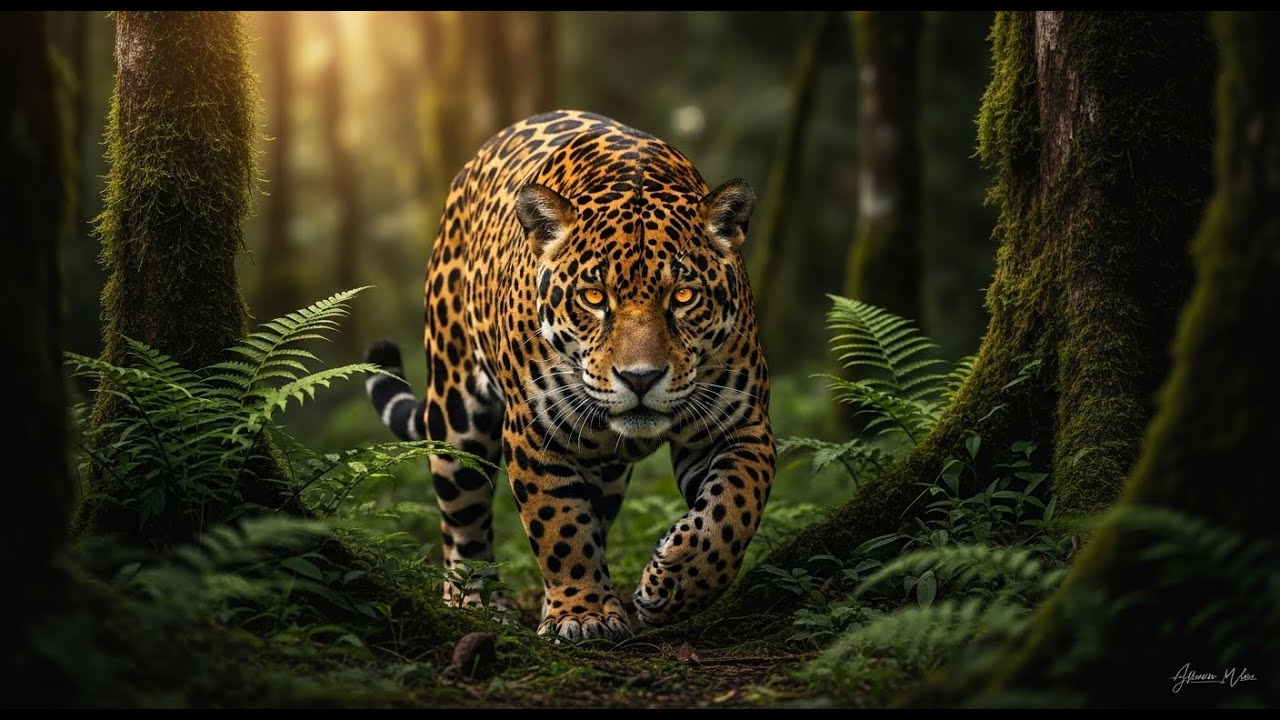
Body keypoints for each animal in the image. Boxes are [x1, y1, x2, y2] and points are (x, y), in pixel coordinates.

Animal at [365, 110, 775, 641]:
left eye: (683, 296)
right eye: (594, 297)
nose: (640, 378)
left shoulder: (740, 424)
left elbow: (732, 508)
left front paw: (675, 584)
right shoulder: (535, 430)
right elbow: (559, 527)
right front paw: (583, 614)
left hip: (607, 469)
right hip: (456, 411)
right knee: (461, 516)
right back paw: (473, 603)